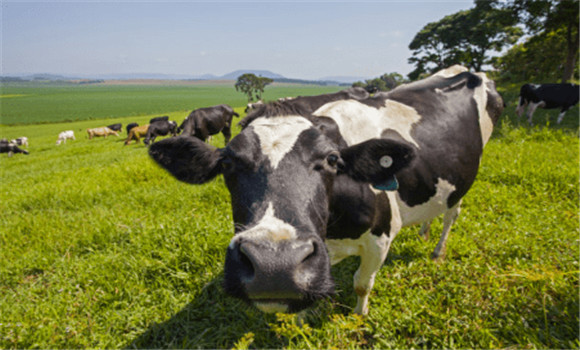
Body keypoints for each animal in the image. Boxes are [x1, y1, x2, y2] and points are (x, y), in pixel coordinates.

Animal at [148, 65, 502, 314]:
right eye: (227, 162)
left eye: (332, 159)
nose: (274, 265)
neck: (334, 231)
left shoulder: (381, 237)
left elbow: (362, 285)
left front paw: (359, 317)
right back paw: (425, 230)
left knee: (452, 214)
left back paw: (438, 250)